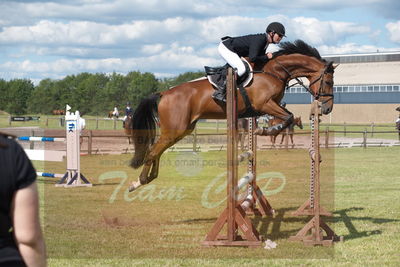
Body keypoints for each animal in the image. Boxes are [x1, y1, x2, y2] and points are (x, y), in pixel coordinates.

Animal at [126, 39, 336, 192]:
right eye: (328, 82)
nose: (327, 109)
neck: (273, 71)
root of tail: (164, 93)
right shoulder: (265, 104)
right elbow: (288, 117)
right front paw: (265, 131)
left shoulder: (267, 107)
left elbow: (288, 117)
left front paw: (264, 130)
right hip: (175, 129)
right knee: (153, 151)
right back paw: (140, 181)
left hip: (182, 130)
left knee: (157, 150)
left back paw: (147, 179)